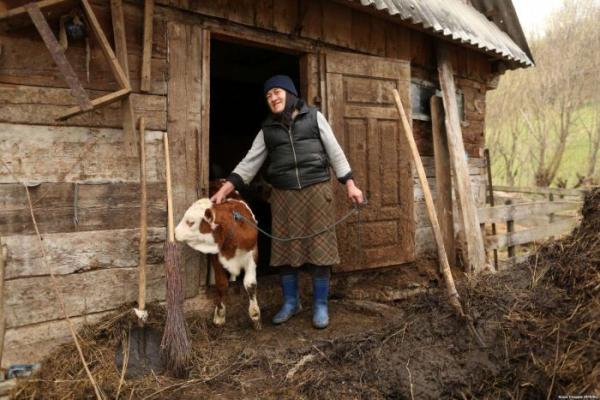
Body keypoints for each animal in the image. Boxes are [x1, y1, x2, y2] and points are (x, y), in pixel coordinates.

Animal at [172, 198, 258, 330]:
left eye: (190, 222)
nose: (174, 232)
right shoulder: (216, 258)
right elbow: (222, 284)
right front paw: (220, 315)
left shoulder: (252, 254)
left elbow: (250, 284)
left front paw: (255, 315)